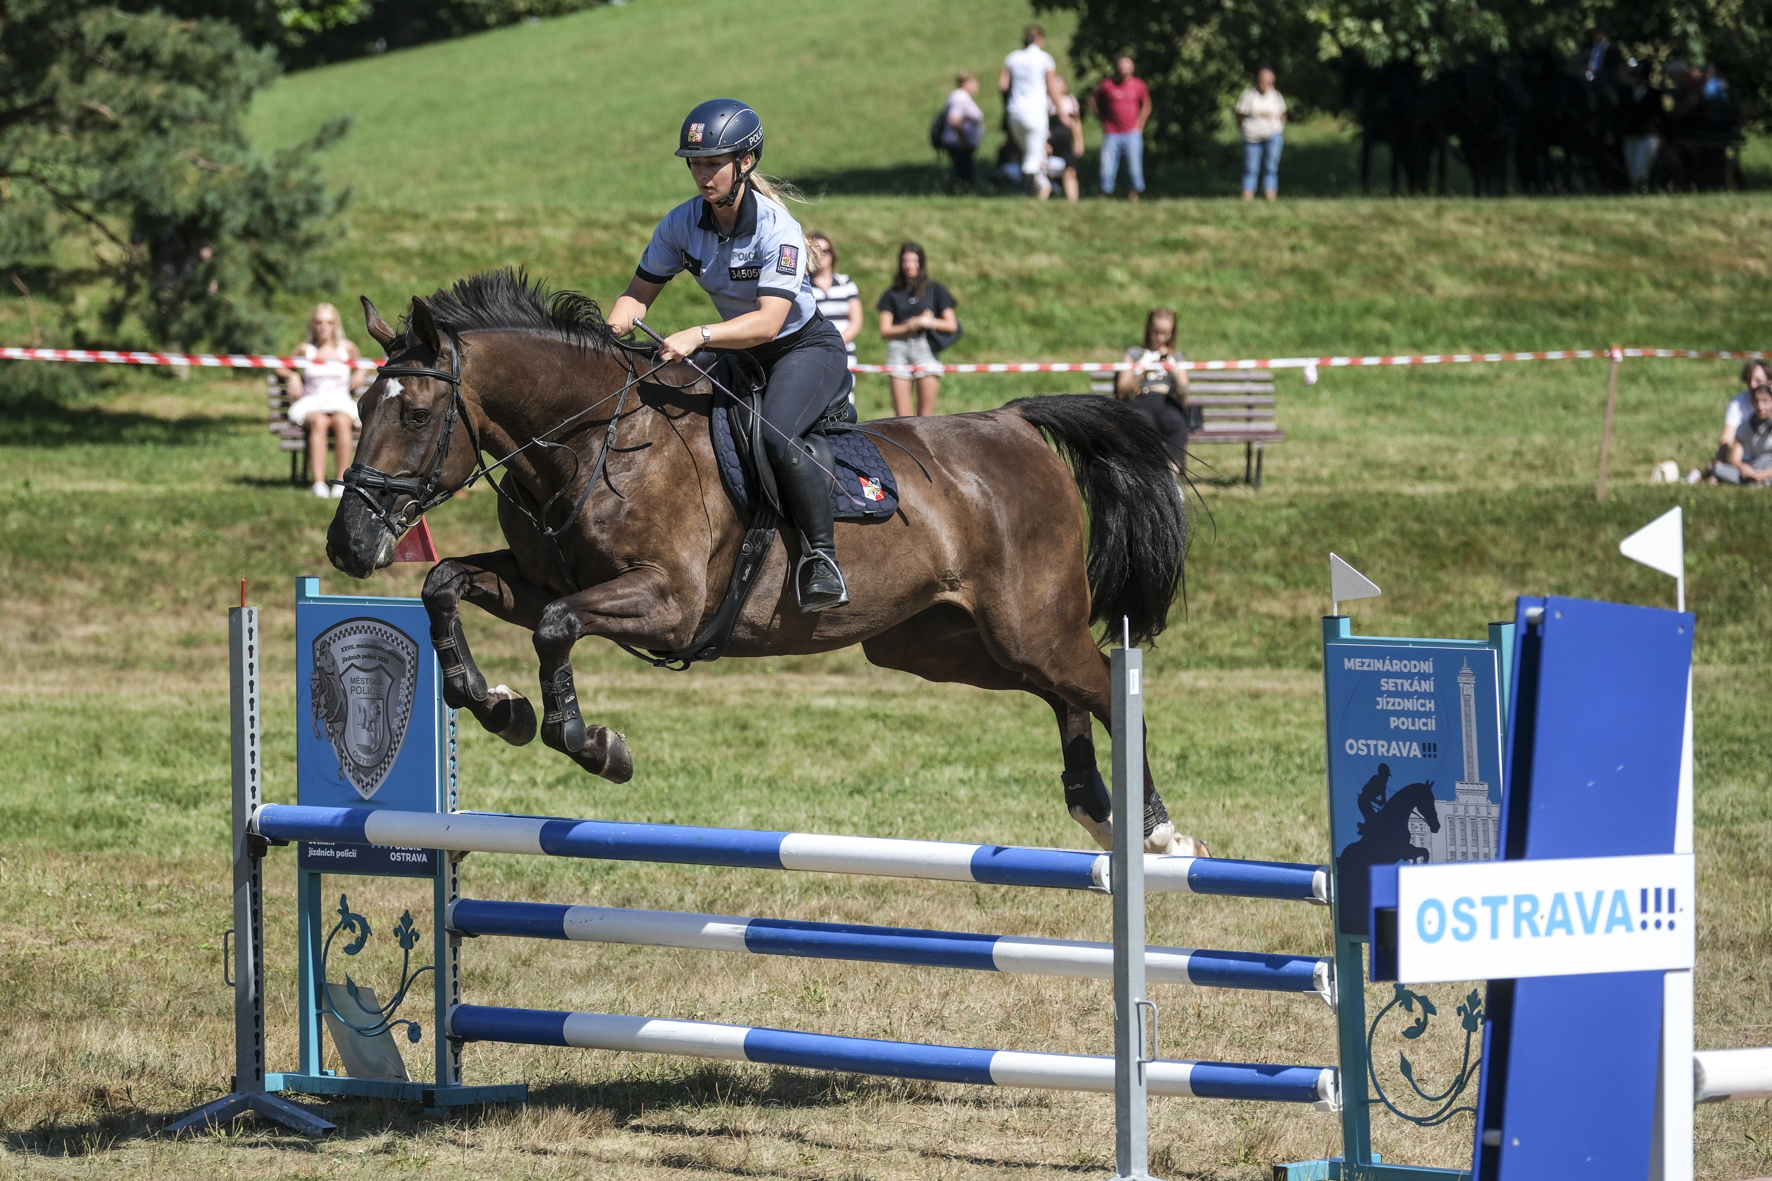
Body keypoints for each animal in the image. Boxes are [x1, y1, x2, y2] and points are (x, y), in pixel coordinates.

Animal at [324, 270, 1204, 857]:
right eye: (359, 406)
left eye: (415, 412)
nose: (348, 544)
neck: (592, 441)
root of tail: (1014, 422)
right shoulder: (541, 576)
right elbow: (446, 583)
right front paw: (494, 703)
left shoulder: (669, 602)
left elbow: (555, 628)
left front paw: (590, 741)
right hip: (941, 642)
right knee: (1061, 692)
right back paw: (1095, 806)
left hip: (1026, 622)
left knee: (1101, 682)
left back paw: (1158, 828)